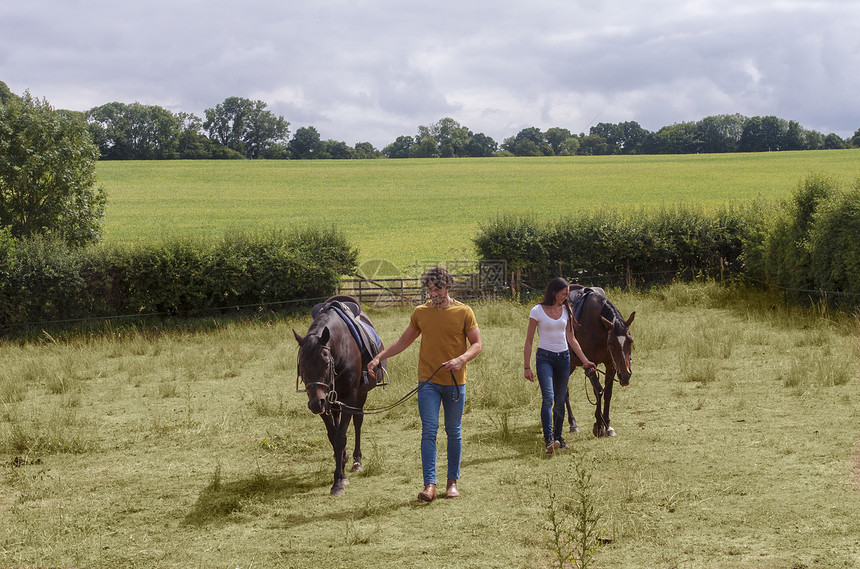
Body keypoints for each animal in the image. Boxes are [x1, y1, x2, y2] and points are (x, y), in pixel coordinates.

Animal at [294, 298, 384, 492]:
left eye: (326, 362)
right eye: (301, 365)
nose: (315, 404)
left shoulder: (350, 397)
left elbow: (341, 436)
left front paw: (338, 481)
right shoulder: (324, 400)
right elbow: (333, 435)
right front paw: (341, 461)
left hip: (359, 395)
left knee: (358, 421)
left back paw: (357, 461)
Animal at [568, 288, 636, 440]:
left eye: (630, 340)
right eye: (610, 342)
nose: (625, 375)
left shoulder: (610, 365)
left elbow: (608, 393)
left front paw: (608, 425)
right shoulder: (590, 366)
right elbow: (598, 391)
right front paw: (598, 426)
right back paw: (572, 423)